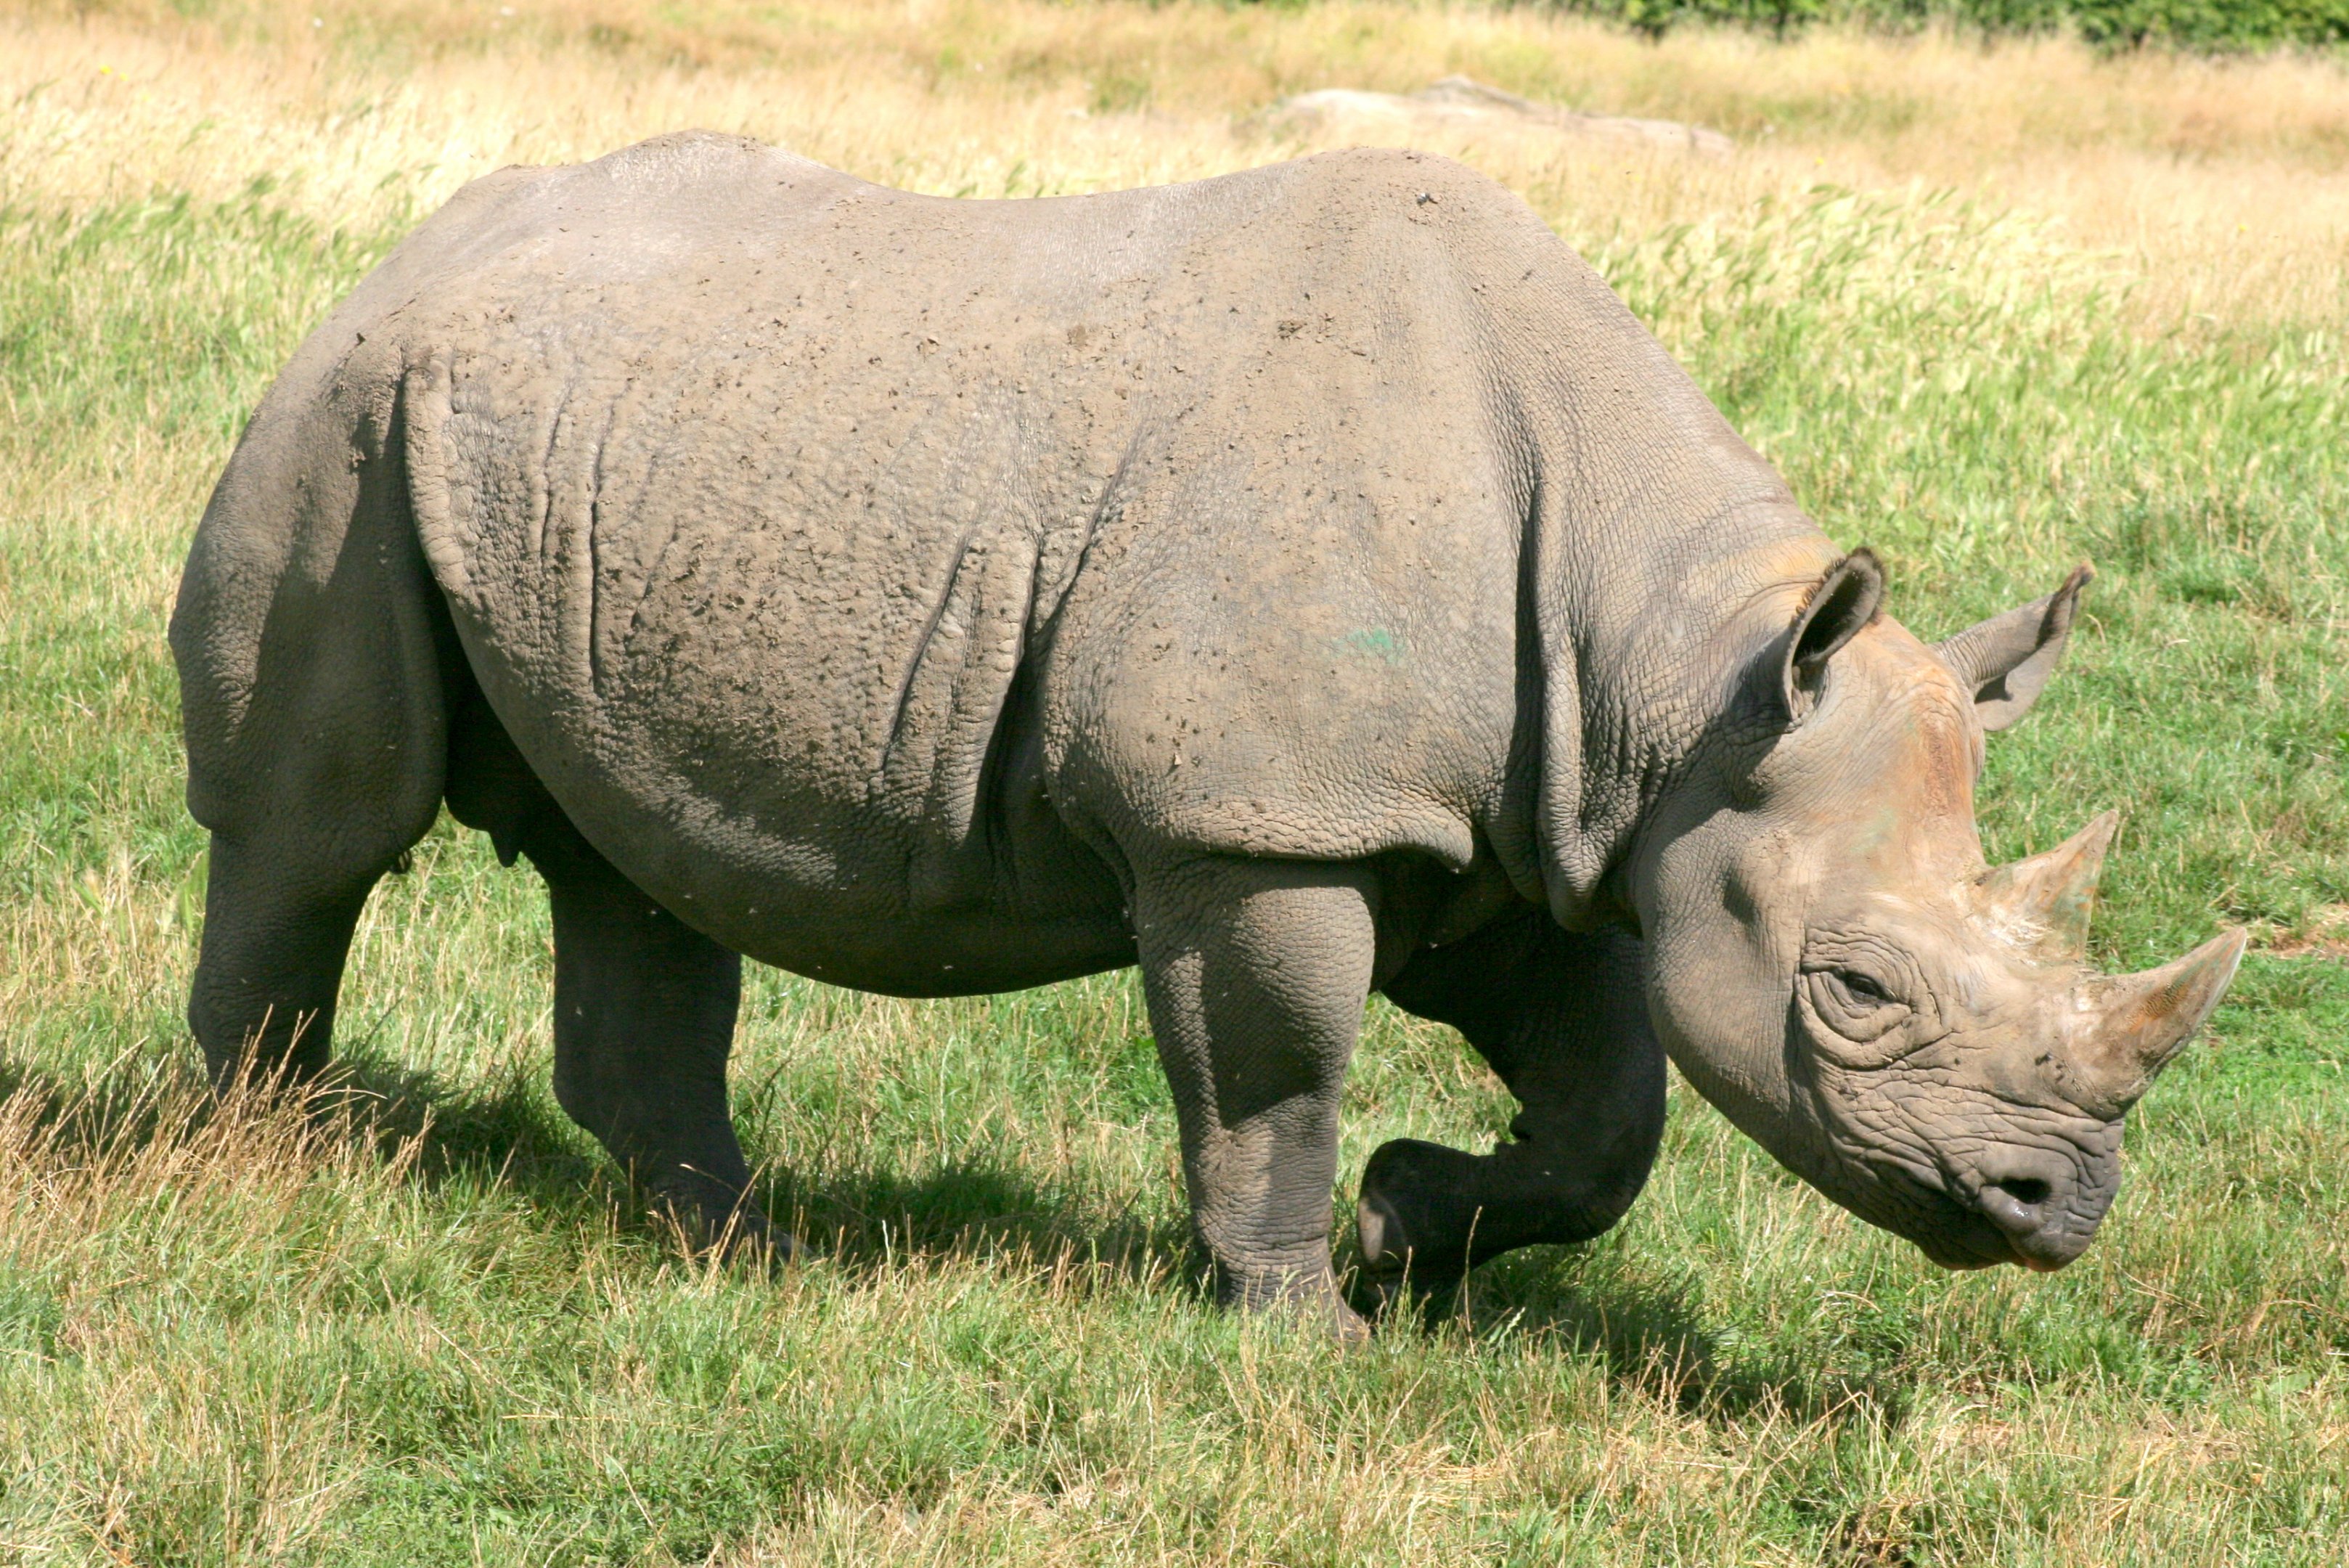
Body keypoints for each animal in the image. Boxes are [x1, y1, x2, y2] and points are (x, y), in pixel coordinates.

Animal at [171, 134, 2243, 1333]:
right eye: (1859, 995)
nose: (2061, 1206)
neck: (1677, 661)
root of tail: (410, 242)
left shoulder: (1548, 823)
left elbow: (1613, 1115)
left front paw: (1411, 1229)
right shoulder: (1261, 822)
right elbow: (1275, 1075)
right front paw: (1305, 1333)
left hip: (577, 446)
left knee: (636, 858)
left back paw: (736, 1256)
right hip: (345, 417)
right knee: (315, 829)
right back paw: (255, 1171)